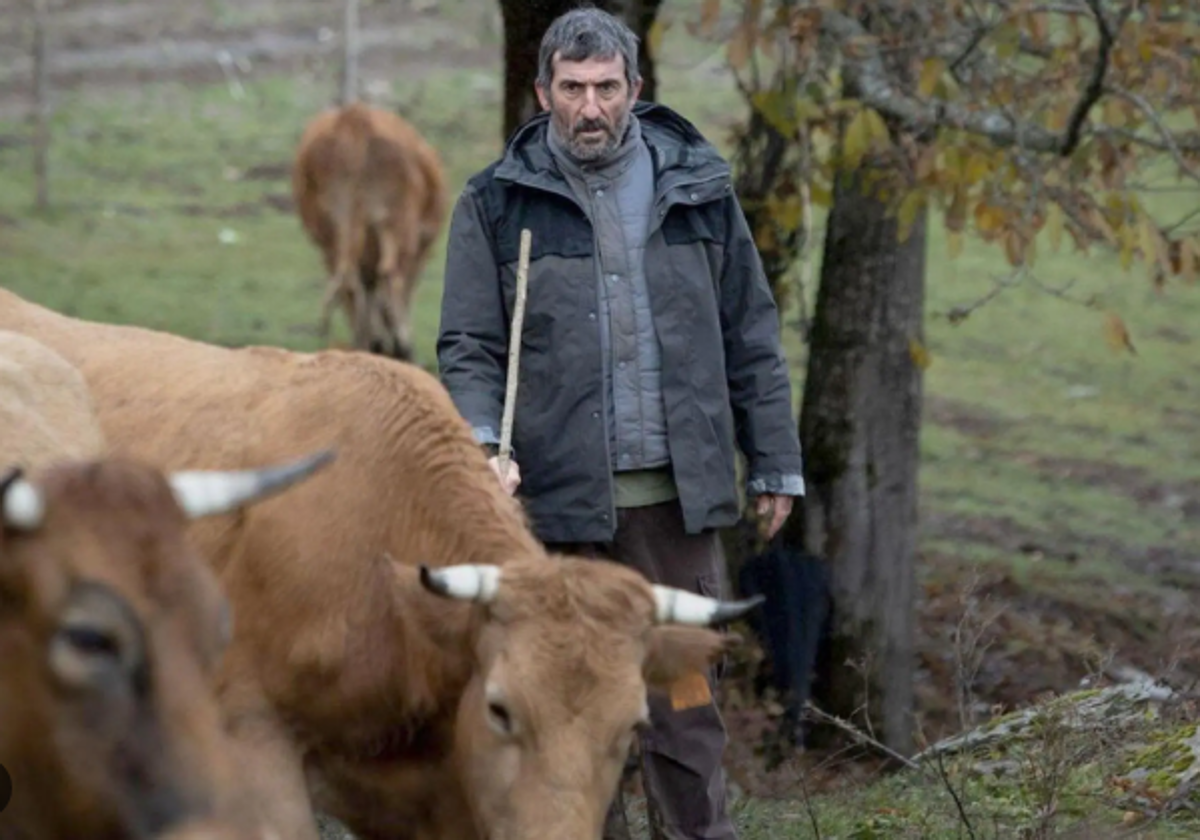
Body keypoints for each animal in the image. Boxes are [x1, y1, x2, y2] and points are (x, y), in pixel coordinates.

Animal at [289, 100, 446, 362]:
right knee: (389, 275)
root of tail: (354, 118)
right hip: (397, 227)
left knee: (350, 282)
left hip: (334, 234)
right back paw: (400, 345)